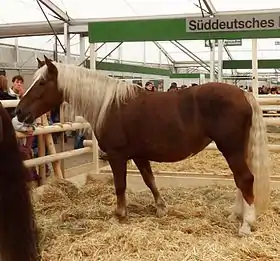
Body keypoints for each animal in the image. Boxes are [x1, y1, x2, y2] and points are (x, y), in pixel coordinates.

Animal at [15, 56, 272, 236]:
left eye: (42, 82)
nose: (19, 112)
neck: (109, 104)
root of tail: (244, 94)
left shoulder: (117, 156)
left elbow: (120, 186)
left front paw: (119, 214)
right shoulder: (139, 155)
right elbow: (150, 181)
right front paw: (161, 208)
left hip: (231, 149)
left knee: (245, 179)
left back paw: (246, 224)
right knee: (241, 181)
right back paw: (236, 215)